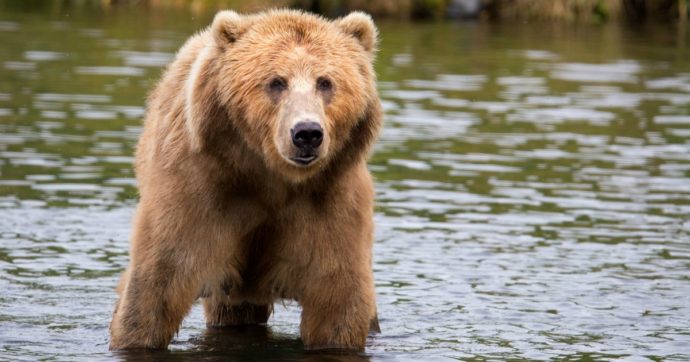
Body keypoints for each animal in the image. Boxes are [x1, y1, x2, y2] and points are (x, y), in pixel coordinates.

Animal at [110, 8, 384, 352]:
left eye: (325, 82)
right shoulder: (199, 189)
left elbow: (337, 297)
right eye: (276, 82)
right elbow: (158, 282)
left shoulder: (330, 199)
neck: (269, 176)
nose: (307, 133)